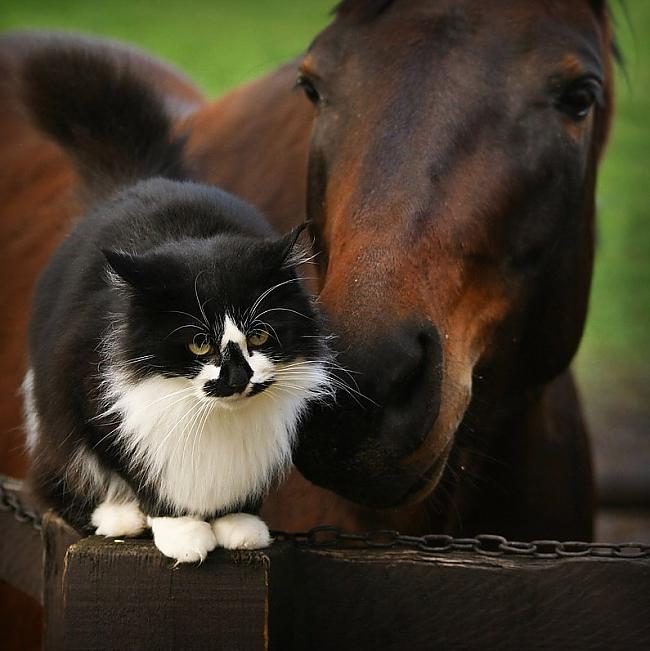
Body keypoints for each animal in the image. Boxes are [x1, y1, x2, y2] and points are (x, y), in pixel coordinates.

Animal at [20, 38, 332, 564]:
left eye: (259, 335)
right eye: (200, 344)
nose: (238, 376)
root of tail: (137, 182)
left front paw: (237, 523)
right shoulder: (91, 394)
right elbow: (140, 471)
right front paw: (182, 532)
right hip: (52, 415)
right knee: (55, 479)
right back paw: (118, 517)